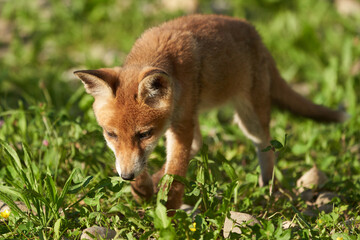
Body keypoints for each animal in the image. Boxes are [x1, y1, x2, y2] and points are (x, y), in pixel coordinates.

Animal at [74, 14, 348, 210]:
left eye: (144, 134)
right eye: (111, 135)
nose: (126, 176)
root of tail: (255, 33)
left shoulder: (181, 124)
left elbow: (176, 172)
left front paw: (168, 213)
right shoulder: (179, 123)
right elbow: (159, 165)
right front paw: (143, 189)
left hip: (249, 119)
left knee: (266, 146)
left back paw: (267, 188)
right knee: (198, 145)